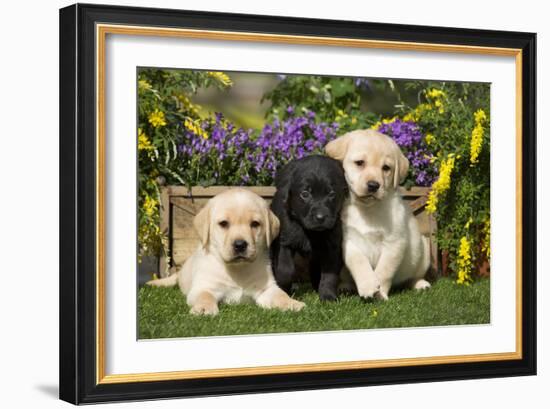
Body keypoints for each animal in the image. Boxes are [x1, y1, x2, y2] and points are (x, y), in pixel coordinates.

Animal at [148, 186, 306, 314]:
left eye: (255, 224)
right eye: (223, 223)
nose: (240, 245)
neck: (237, 269)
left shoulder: (266, 289)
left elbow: (280, 295)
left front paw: (292, 303)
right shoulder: (203, 287)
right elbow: (205, 296)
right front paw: (204, 309)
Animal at [272, 154, 350, 300]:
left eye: (331, 193)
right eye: (305, 194)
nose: (320, 217)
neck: (310, 232)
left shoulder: (332, 246)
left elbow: (329, 274)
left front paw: (328, 295)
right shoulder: (285, 241)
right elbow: (285, 270)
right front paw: (284, 290)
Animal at [328, 130, 432, 300]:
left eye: (386, 168)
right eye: (360, 163)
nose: (373, 185)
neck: (368, 209)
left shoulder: (395, 242)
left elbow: (384, 270)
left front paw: (380, 293)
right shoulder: (349, 241)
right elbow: (358, 262)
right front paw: (368, 285)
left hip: (423, 250)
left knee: (414, 276)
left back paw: (420, 284)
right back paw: (345, 287)